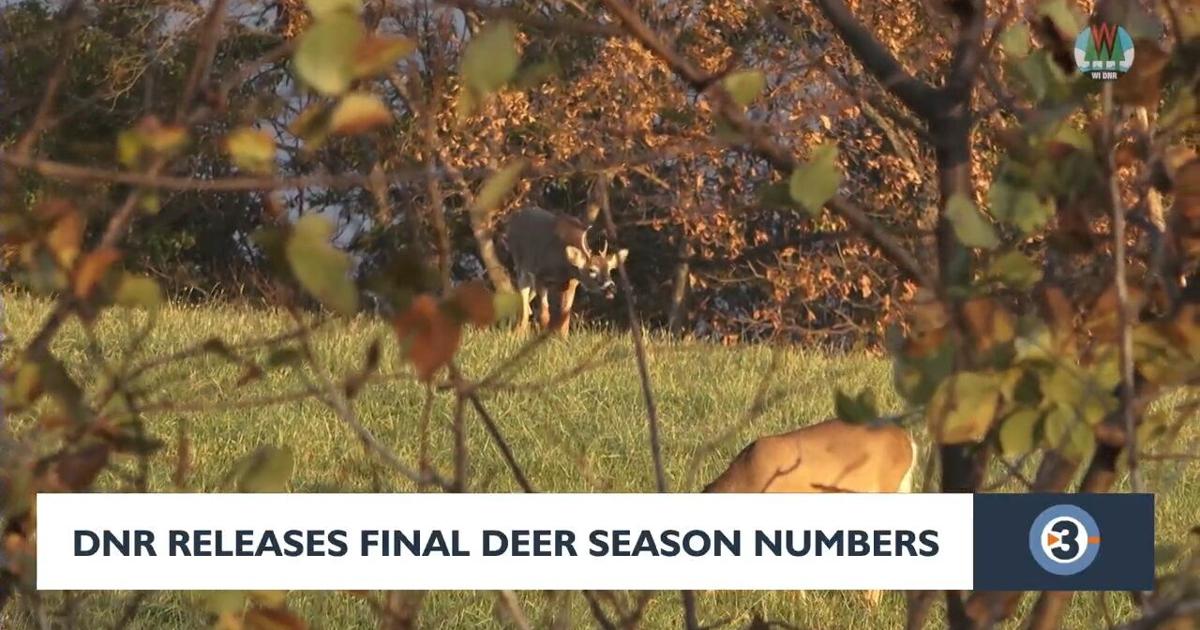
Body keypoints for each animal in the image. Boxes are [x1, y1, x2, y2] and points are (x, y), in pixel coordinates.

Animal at [504, 207, 628, 337]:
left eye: (610, 269)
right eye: (592, 269)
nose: (611, 287)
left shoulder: (571, 282)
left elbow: (565, 315)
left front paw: (563, 338)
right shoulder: (540, 275)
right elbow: (544, 314)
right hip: (520, 264)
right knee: (524, 299)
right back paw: (517, 334)